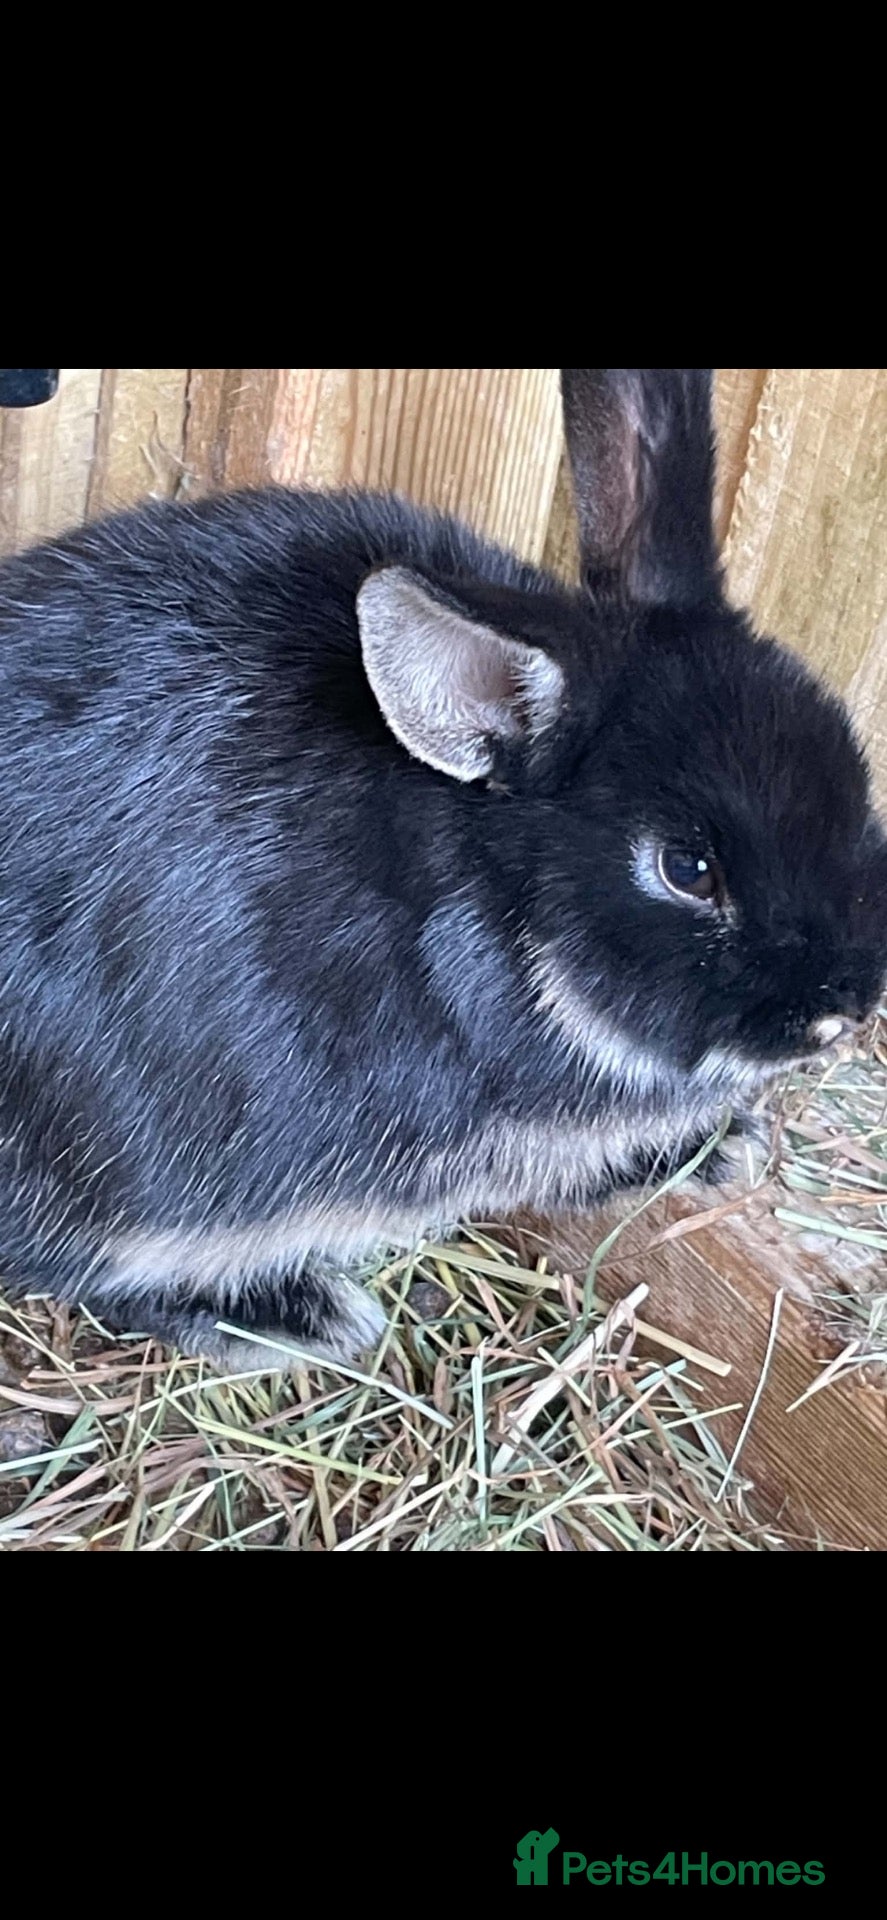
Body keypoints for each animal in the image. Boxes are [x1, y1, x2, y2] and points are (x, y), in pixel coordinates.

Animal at [0, 368, 884, 1374]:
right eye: (686, 868)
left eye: (854, 776)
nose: (847, 1005)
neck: (503, 897)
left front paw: (727, 1140)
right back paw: (297, 1315)